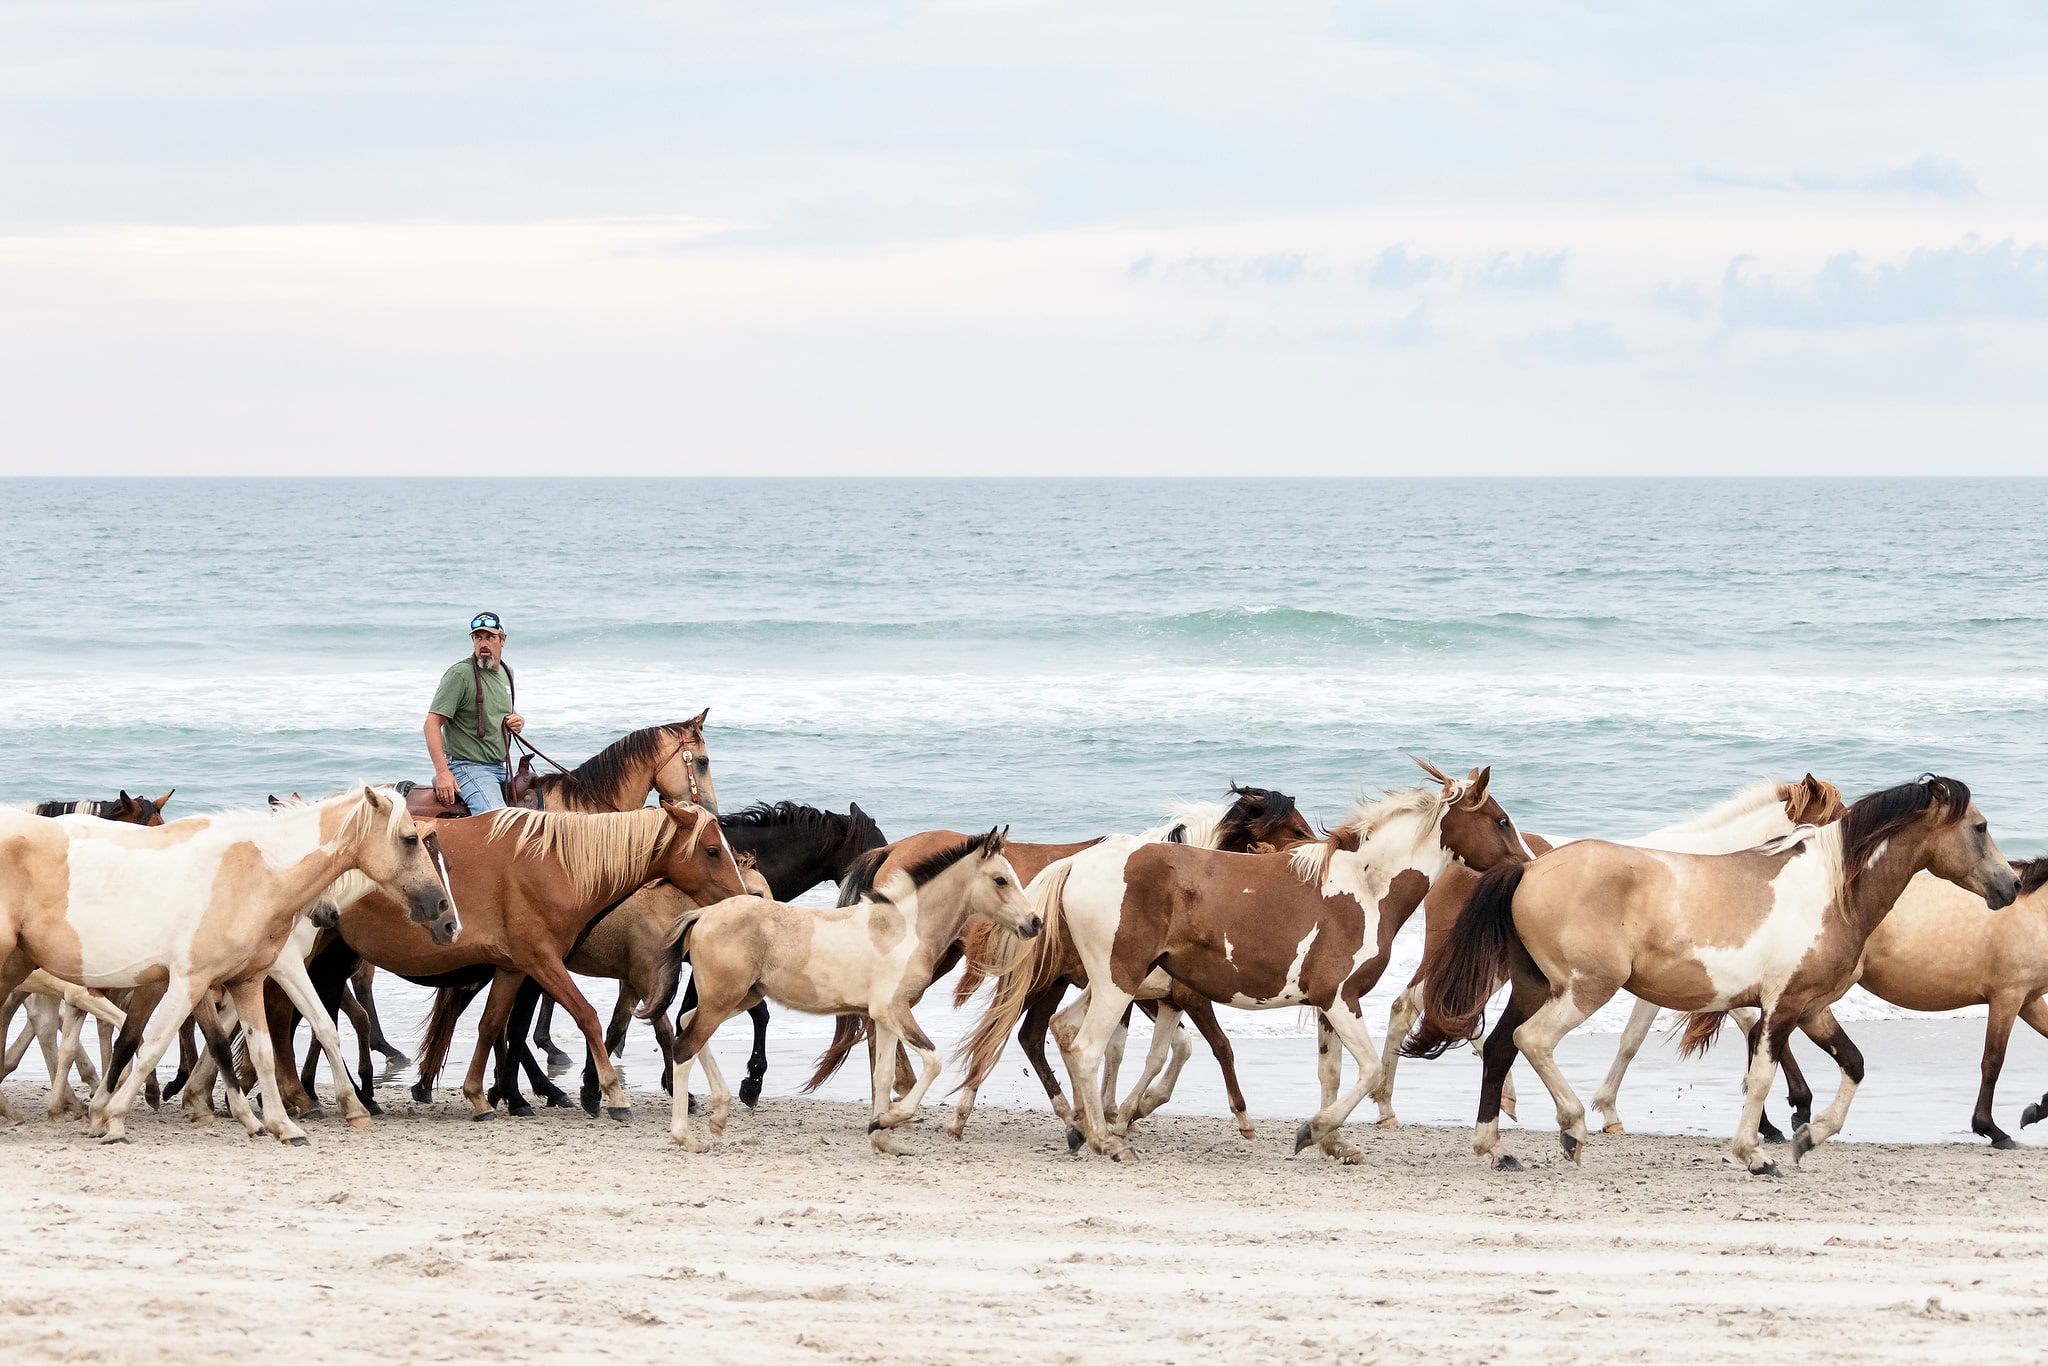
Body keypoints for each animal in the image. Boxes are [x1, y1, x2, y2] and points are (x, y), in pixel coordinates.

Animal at [0, 786, 452, 1146]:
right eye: (410, 839)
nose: (443, 912)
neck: (257, 876)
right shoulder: (191, 981)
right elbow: (155, 1043)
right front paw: (112, 1120)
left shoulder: (246, 981)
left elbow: (260, 1048)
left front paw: (280, 1125)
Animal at [331, 806, 749, 1114]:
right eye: (712, 851)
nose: (742, 899)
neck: (555, 866)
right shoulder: (542, 961)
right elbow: (587, 1017)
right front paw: (612, 1093)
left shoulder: (513, 968)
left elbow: (492, 1026)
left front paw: (480, 1096)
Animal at [663, 827, 1040, 1163]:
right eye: (1001, 880)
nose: (1034, 922)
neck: (903, 928)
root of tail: (704, 913)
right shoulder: (893, 1010)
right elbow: (933, 1061)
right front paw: (888, 1120)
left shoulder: (884, 1018)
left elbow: (884, 1076)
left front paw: (884, 1139)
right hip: (725, 998)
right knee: (685, 1046)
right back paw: (687, 1137)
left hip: (742, 997)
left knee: (687, 1022)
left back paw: (719, 1114)